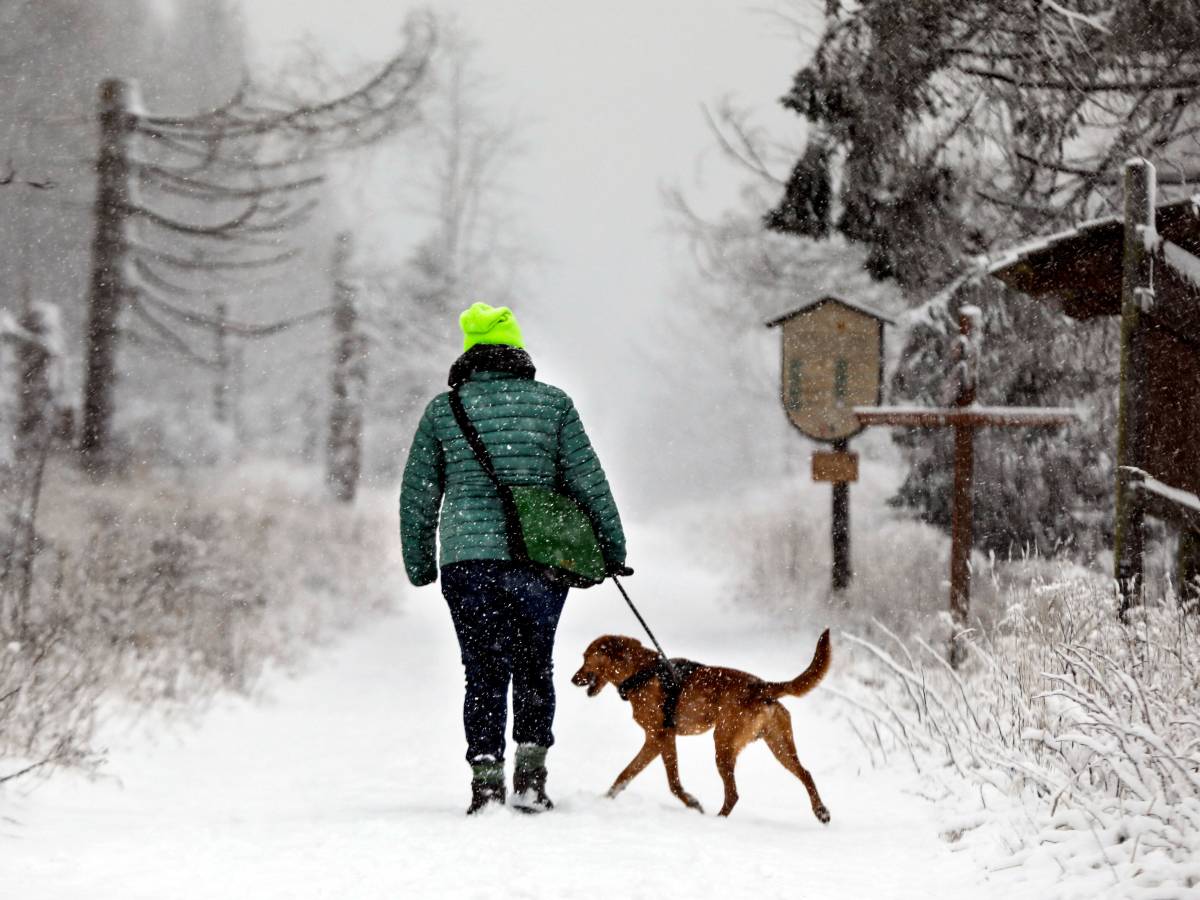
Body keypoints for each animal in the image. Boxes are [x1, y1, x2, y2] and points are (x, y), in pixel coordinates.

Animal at [566, 628, 830, 820]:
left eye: (585, 658)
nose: (572, 679)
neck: (639, 673)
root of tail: (763, 686)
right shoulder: (653, 740)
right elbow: (625, 774)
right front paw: (604, 799)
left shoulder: (662, 736)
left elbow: (673, 783)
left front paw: (693, 803)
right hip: (780, 745)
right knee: (806, 773)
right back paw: (821, 812)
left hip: (723, 744)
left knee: (733, 794)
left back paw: (717, 819)